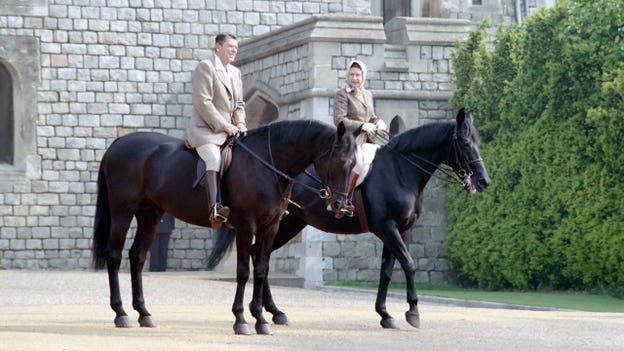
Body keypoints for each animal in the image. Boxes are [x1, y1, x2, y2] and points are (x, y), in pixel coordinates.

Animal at [91, 120, 356, 336]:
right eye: (338, 161)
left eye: (354, 163)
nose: (339, 205)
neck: (266, 164)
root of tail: (119, 142)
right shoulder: (246, 226)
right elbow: (243, 271)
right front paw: (241, 319)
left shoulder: (270, 227)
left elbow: (261, 269)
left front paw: (260, 319)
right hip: (123, 211)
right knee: (114, 256)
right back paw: (121, 313)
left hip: (150, 214)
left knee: (137, 257)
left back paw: (144, 313)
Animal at [210, 108, 492, 332]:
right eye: (464, 142)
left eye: (477, 140)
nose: (483, 180)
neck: (399, 170)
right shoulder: (387, 228)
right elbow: (409, 265)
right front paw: (412, 312)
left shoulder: (398, 231)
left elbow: (387, 272)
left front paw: (385, 314)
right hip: (281, 225)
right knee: (261, 257)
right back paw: (269, 311)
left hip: (286, 224)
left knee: (262, 257)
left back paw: (274, 312)